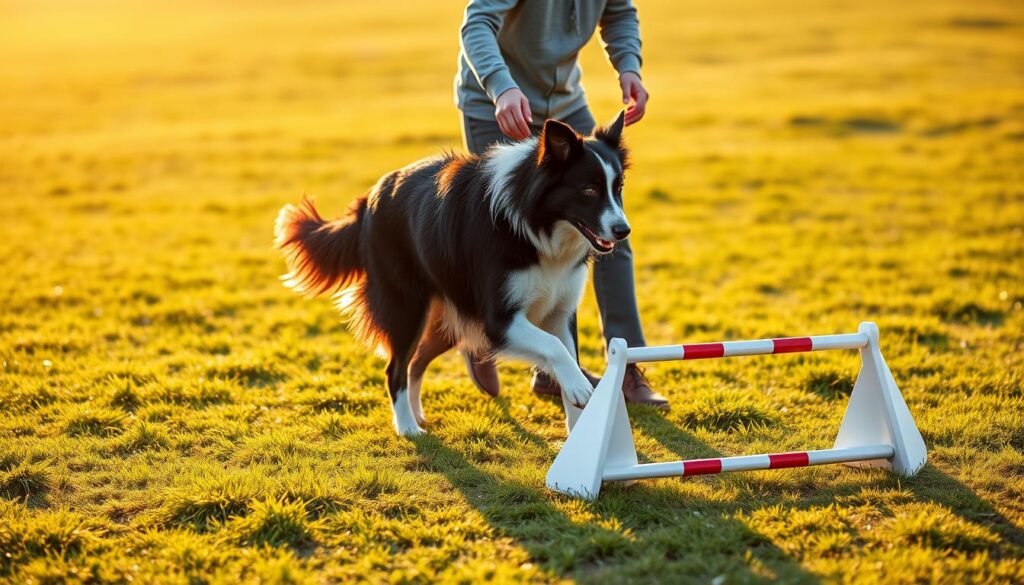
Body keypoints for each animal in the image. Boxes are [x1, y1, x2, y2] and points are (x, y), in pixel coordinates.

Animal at [276, 113, 634, 434]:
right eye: (588, 190)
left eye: (618, 188)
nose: (623, 230)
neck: (533, 225)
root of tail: (370, 197)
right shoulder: (499, 320)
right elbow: (554, 348)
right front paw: (581, 390)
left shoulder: (559, 311)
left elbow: (566, 354)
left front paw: (578, 428)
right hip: (406, 307)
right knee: (395, 369)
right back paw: (407, 427)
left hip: (446, 316)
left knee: (415, 362)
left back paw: (416, 414)